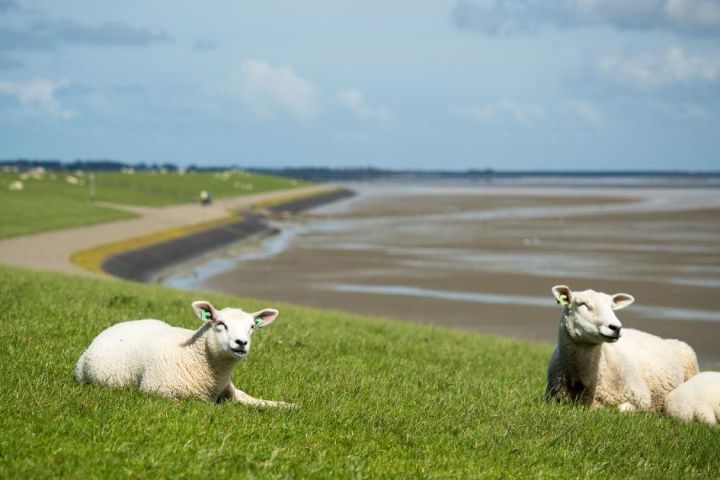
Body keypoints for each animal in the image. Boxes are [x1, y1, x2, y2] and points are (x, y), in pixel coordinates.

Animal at [75, 300, 296, 408]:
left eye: (252, 327)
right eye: (220, 323)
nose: (241, 343)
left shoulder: (229, 389)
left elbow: (252, 399)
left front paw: (288, 406)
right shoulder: (155, 391)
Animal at [544, 284, 696, 412]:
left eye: (612, 307)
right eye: (583, 304)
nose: (616, 327)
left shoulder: (641, 398)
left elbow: (620, 409)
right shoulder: (554, 399)